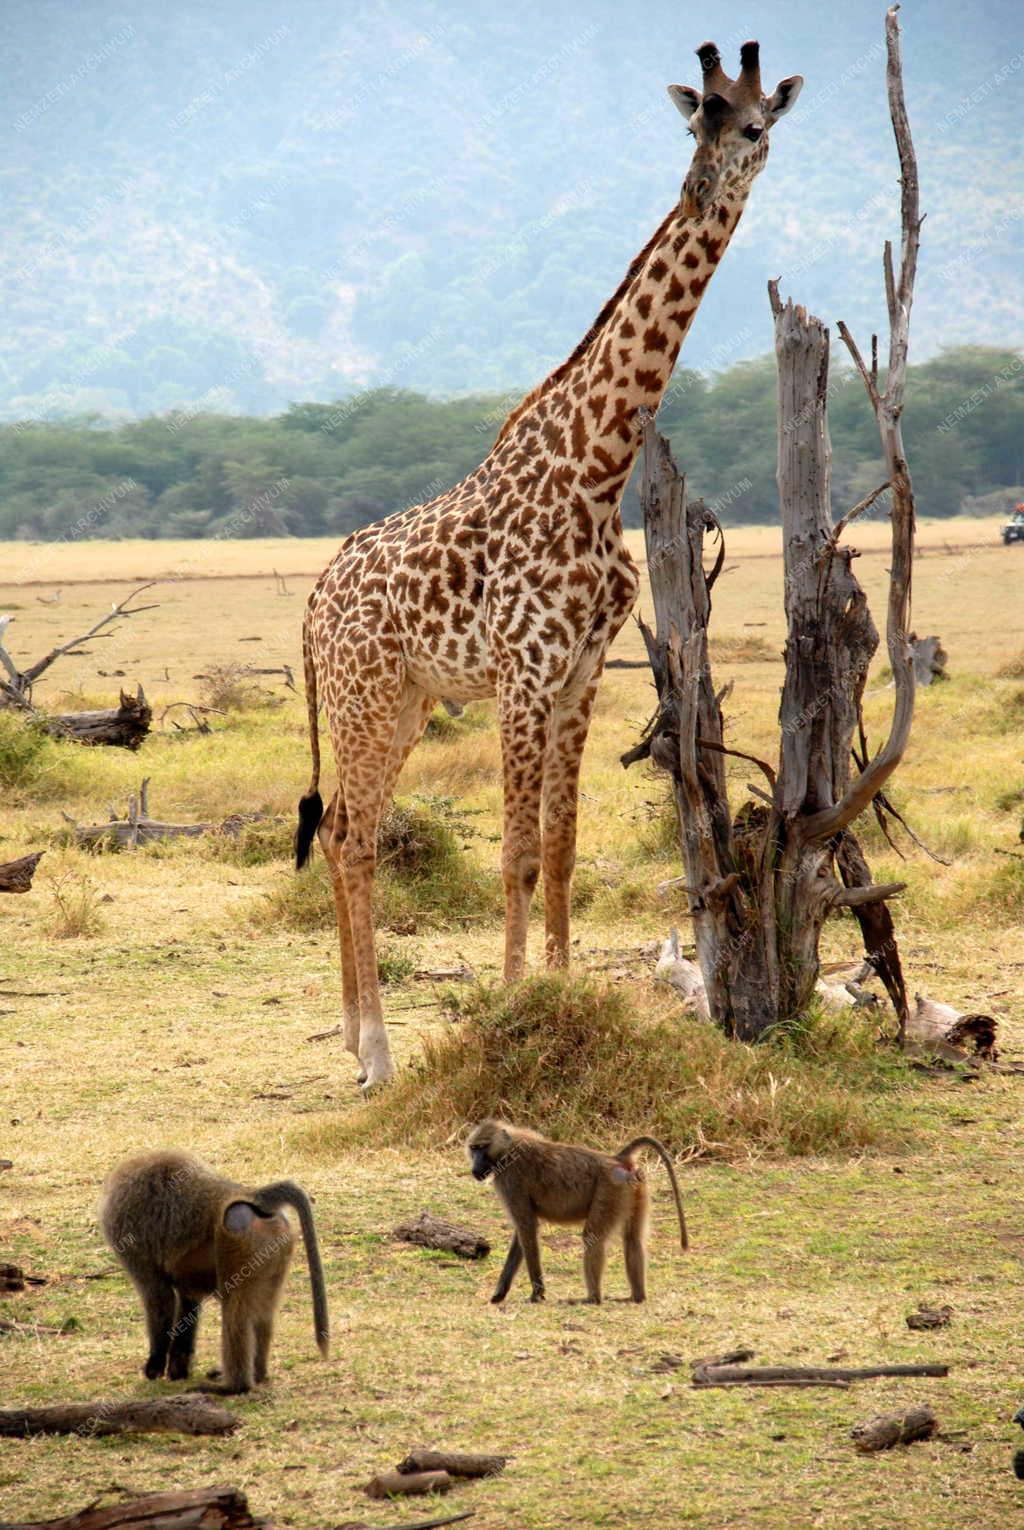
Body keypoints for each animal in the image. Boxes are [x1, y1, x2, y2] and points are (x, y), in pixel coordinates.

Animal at [293, 38, 795, 1089]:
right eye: (697, 122)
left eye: (754, 123)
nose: (703, 185)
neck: (598, 471)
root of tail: (314, 602)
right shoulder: (523, 673)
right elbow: (517, 856)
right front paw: (514, 1009)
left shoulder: (579, 674)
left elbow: (561, 852)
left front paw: (562, 996)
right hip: (364, 699)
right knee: (351, 838)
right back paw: (377, 1053)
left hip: (405, 703)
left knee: (348, 829)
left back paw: (359, 1037)